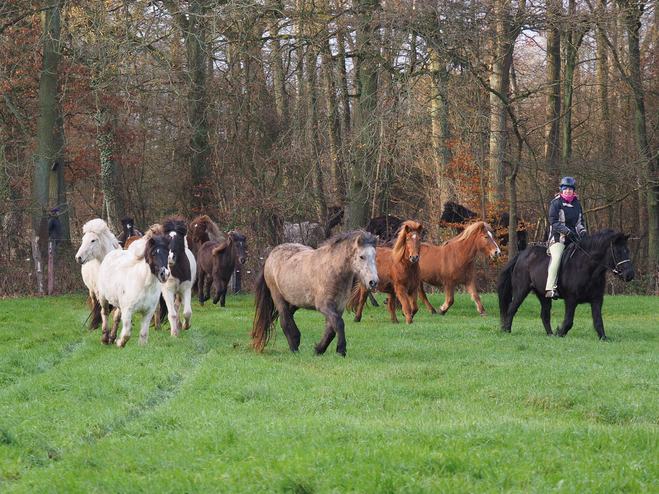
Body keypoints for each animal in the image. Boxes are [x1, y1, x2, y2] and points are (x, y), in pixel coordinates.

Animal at [500, 229, 636, 340]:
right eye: (617, 252)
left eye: (628, 251)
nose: (630, 275)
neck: (586, 269)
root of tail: (521, 254)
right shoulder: (571, 300)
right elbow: (569, 322)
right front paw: (560, 332)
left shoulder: (597, 300)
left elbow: (598, 321)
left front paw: (603, 338)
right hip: (521, 290)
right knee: (512, 307)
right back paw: (506, 330)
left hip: (543, 295)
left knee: (545, 315)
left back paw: (550, 335)